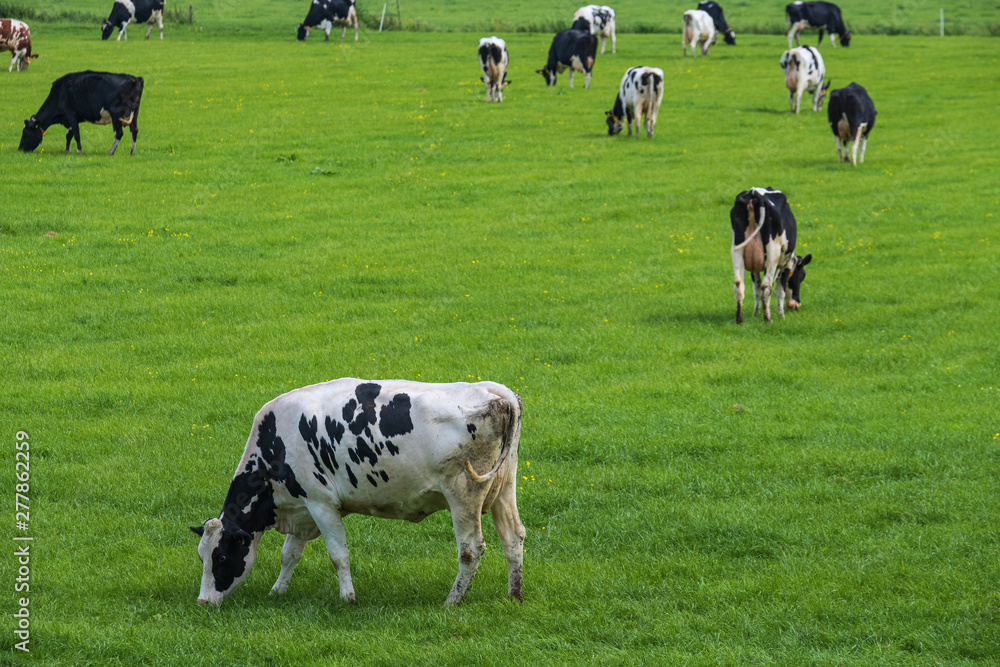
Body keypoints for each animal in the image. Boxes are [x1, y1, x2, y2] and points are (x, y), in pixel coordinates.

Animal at [190, 378, 528, 608]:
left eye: (221, 556)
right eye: (201, 555)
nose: (203, 601)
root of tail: (496, 392)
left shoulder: (321, 503)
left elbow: (338, 554)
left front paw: (347, 597)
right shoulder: (302, 508)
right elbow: (290, 555)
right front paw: (278, 591)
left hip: (463, 493)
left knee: (470, 549)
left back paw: (452, 601)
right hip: (504, 488)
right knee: (513, 537)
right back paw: (514, 595)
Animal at [728, 187, 812, 324]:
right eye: (802, 276)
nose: (796, 305)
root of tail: (754, 193)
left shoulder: (754, 267)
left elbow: (756, 289)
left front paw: (756, 314)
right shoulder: (786, 264)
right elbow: (779, 290)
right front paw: (781, 316)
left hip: (737, 249)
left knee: (739, 283)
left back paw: (739, 319)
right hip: (773, 251)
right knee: (766, 285)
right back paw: (768, 318)